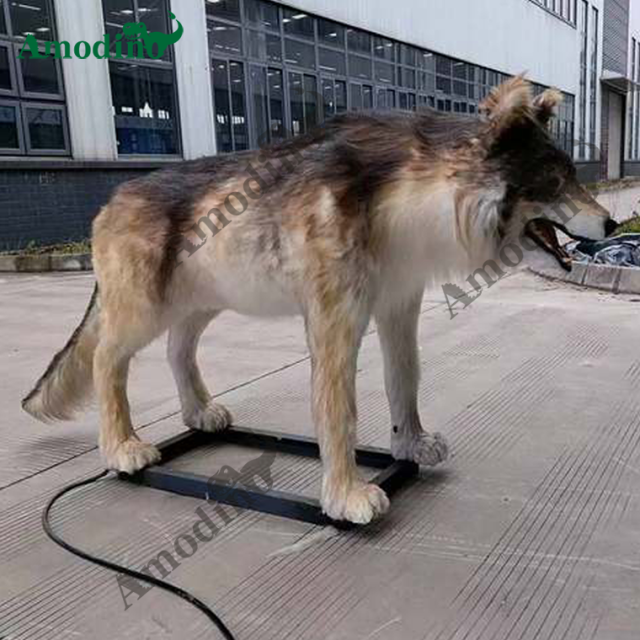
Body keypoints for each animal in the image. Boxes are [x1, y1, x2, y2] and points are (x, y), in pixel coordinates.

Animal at [22, 77, 615, 524]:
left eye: (574, 177)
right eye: (557, 181)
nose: (612, 224)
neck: (408, 193)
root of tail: (113, 196)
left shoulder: (398, 312)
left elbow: (405, 382)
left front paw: (410, 446)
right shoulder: (334, 323)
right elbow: (339, 414)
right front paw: (345, 497)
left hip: (203, 300)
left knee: (177, 350)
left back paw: (199, 414)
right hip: (143, 309)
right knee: (107, 361)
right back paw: (123, 448)